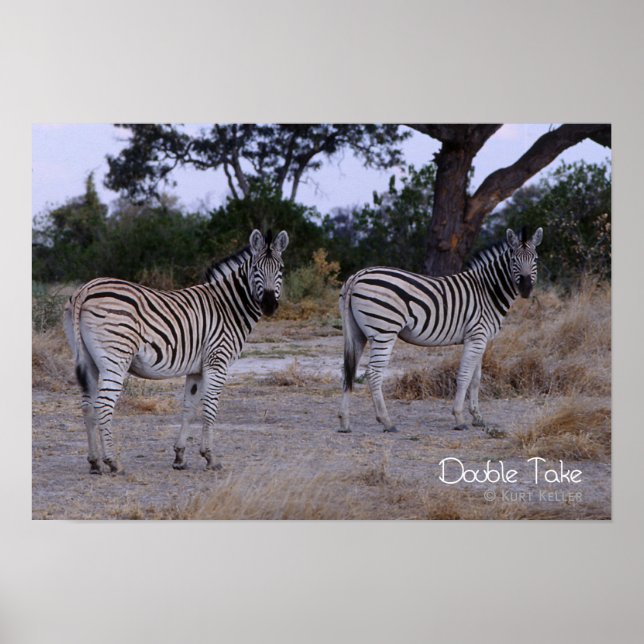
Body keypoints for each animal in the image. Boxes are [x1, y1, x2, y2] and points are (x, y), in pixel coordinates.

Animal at [63, 229, 289, 474]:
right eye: (256, 268)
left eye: (281, 269)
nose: (269, 305)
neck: (228, 307)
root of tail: (86, 288)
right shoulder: (217, 361)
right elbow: (210, 408)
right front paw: (210, 457)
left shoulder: (196, 368)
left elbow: (189, 407)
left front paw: (180, 456)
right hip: (115, 359)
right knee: (103, 406)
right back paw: (113, 462)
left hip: (88, 360)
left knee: (87, 406)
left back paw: (94, 461)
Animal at [338, 227, 543, 434]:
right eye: (513, 260)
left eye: (535, 259)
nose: (526, 289)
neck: (487, 291)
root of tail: (357, 276)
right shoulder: (476, 337)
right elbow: (464, 376)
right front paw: (459, 418)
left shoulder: (481, 339)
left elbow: (476, 378)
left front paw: (478, 417)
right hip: (384, 331)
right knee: (373, 373)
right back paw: (386, 421)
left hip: (357, 334)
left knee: (349, 371)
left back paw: (345, 422)